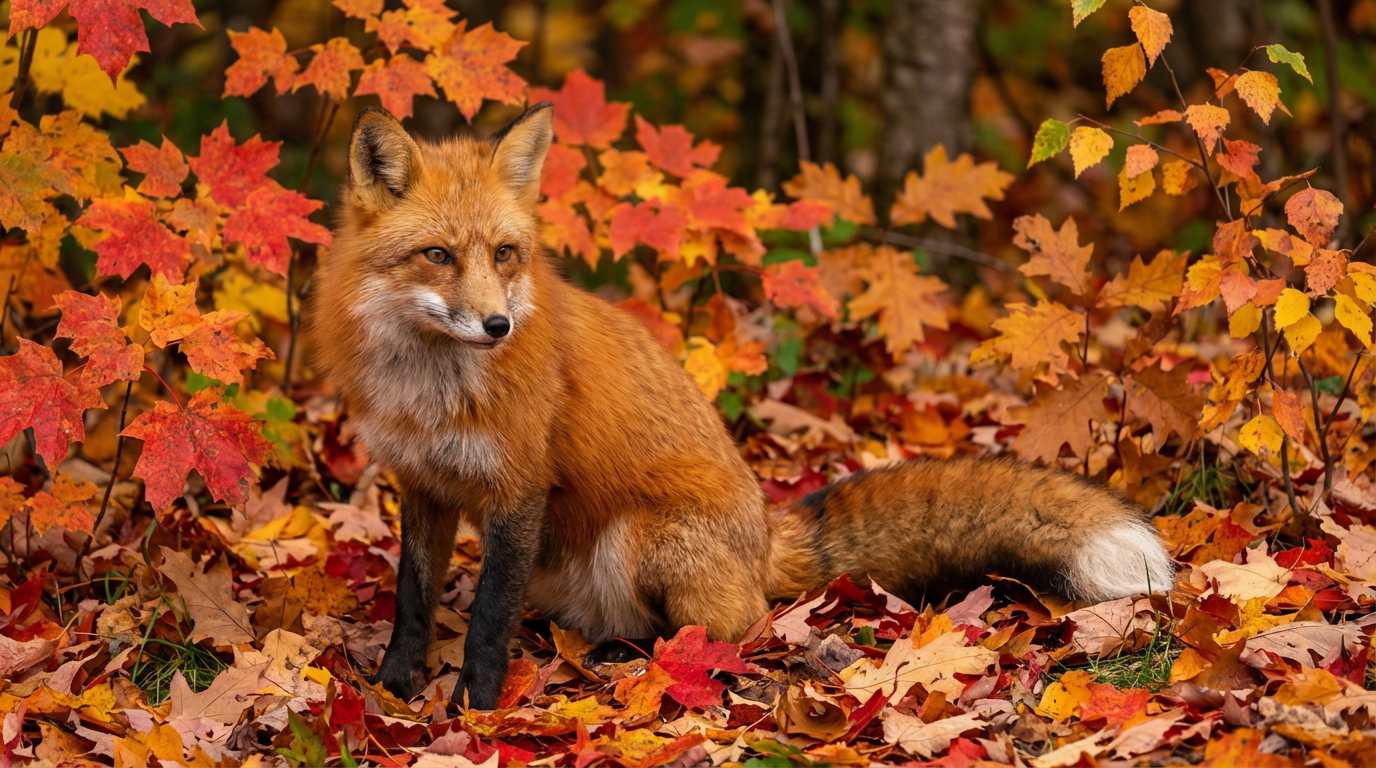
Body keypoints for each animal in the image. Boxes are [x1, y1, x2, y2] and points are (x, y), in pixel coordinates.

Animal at [308, 103, 1177, 709]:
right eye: (438, 256)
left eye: (504, 254)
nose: (498, 326)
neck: (433, 391)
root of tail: (764, 533)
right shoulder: (422, 486)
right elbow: (412, 600)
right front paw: (393, 687)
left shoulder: (518, 490)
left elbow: (488, 619)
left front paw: (475, 707)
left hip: (642, 538)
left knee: (733, 625)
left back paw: (642, 659)